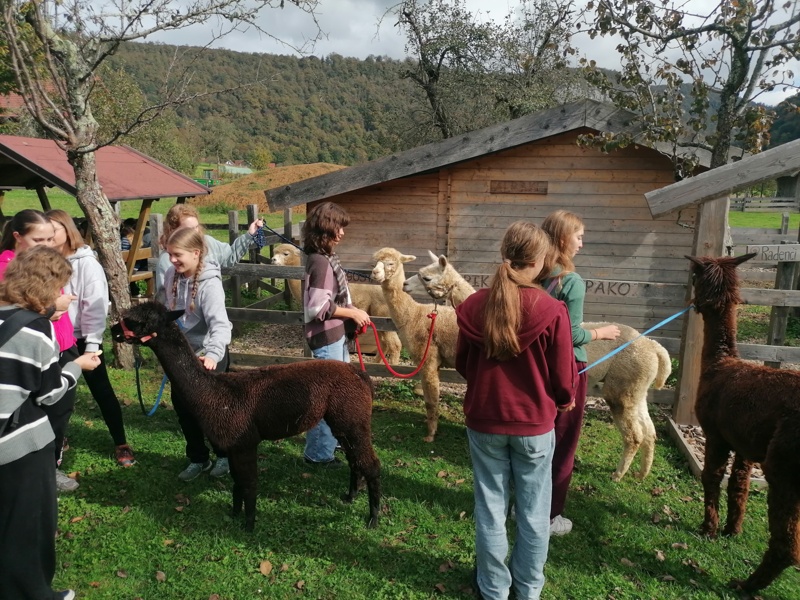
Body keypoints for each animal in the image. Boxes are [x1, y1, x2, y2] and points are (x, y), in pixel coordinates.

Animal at [111, 301, 381, 531]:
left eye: (139, 322)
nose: (113, 330)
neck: (214, 393)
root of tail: (360, 375)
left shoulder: (244, 442)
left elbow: (249, 483)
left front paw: (248, 526)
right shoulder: (231, 445)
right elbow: (237, 483)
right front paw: (234, 514)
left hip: (353, 418)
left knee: (371, 464)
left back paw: (373, 518)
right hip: (343, 421)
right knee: (355, 460)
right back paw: (349, 497)